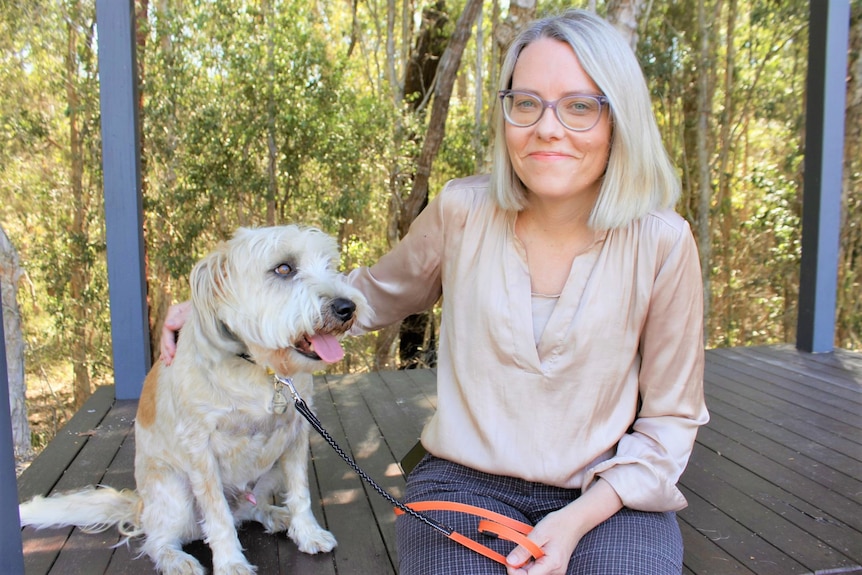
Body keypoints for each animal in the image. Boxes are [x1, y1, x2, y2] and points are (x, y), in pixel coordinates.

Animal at [17, 225, 368, 575]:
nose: (347, 307)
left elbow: (300, 492)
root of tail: (140, 505)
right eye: (284, 268)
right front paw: (231, 563)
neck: (258, 368)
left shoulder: (296, 433)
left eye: (330, 265)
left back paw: (275, 515)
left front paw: (307, 532)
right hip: (174, 491)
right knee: (159, 539)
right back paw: (177, 560)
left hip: (270, 472)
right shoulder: (201, 450)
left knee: (247, 511)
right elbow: (217, 515)